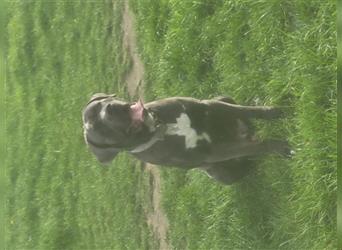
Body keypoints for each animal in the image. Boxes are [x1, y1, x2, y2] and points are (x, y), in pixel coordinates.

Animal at [81, 93, 290, 185]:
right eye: (97, 127)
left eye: (101, 105)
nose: (110, 109)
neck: (160, 127)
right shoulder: (213, 153)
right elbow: (254, 147)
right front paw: (280, 147)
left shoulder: (209, 106)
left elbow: (250, 111)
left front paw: (276, 112)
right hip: (222, 175)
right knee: (246, 161)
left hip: (223, 97)